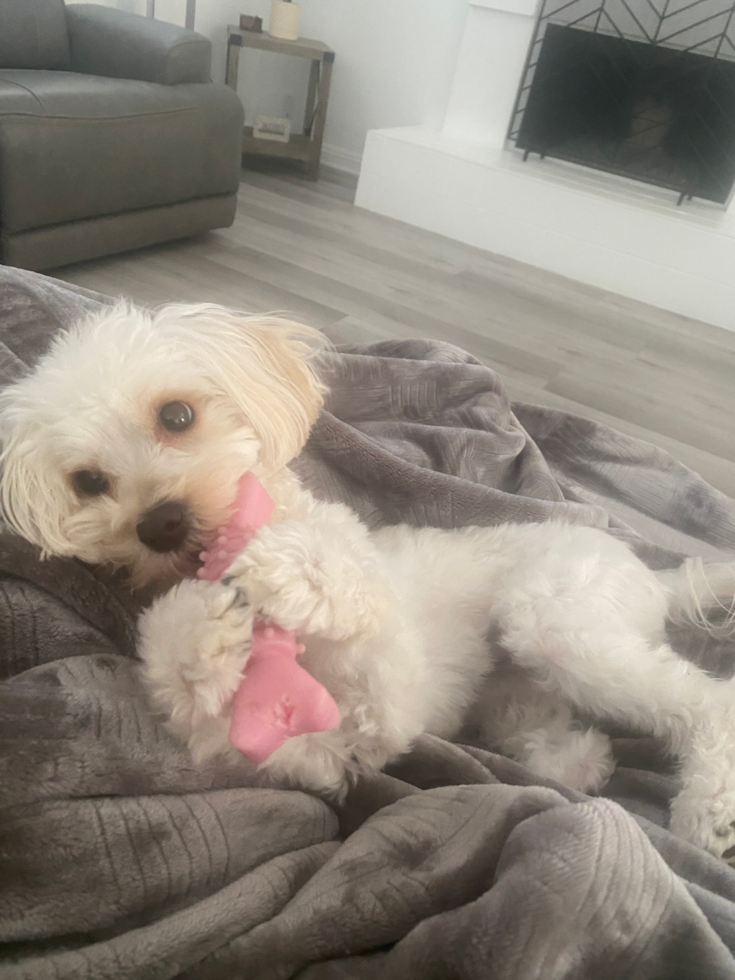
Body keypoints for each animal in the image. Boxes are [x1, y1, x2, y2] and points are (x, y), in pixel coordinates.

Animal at [1, 304, 735, 856]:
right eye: (88, 481)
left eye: (176, 414)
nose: (160, 523)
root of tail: (655, 575)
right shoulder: (315, 752)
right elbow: (213, 699)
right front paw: (198, 642)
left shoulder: (387, 684)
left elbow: (335, 583)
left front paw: (272, 569)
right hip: (518, 698)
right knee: (571, 744)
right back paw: (581, 762)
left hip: (551, 618)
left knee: (708, 703)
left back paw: (707, 808)